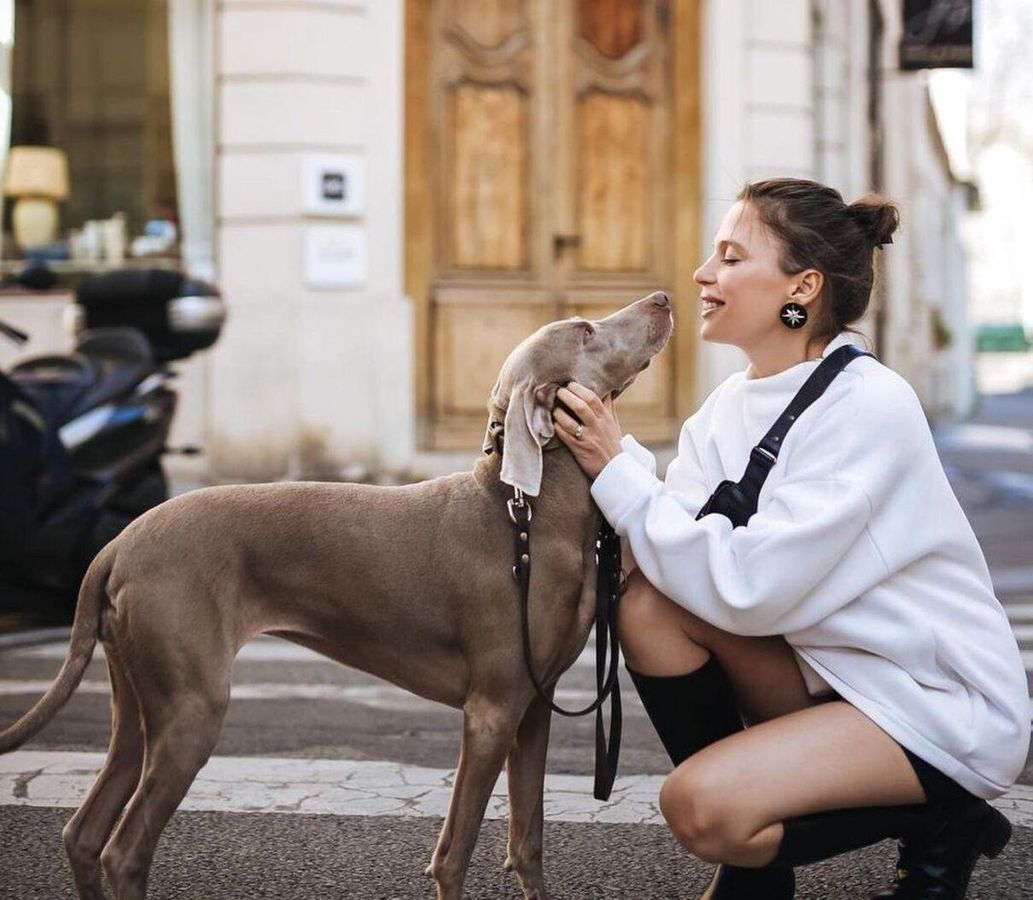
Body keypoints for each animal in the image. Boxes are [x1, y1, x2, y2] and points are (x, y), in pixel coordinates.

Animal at [0, 291, 673, 896]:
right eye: (586, 330)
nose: (665, 297)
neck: (530, 517)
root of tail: (118, 544)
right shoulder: (491, 712)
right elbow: (454, 854)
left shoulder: (534, 707)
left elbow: (528, 844)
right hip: (192, 706)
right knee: (123, 851)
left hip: (139, 700)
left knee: (84, 832)